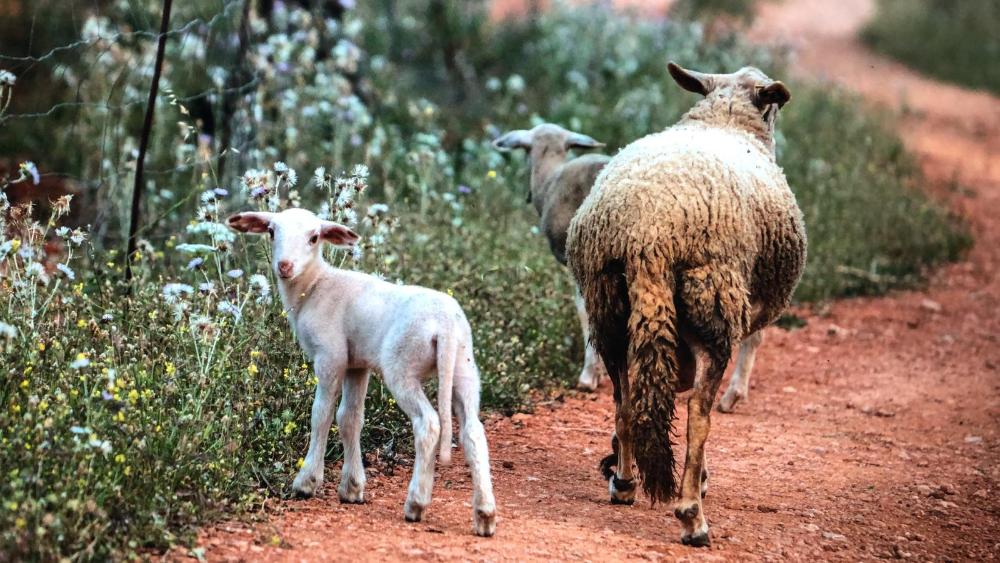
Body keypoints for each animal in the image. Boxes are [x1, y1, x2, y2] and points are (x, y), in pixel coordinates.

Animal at [229, 208, 498, 536]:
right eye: (271, 231)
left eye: (314, 237)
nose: (284, 266)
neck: (315, 286)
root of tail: (444, 324)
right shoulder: (356, 364)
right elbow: (350, 418)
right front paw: (352, 488)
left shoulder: (330, 355)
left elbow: (321, 415)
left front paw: (307, 482)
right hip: (464, 366)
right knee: (473, 431)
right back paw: (485, 515)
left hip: (402, 365)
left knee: (428, 424)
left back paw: (416, 503)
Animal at [568, 61, 808, 548]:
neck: (726, 119)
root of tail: (647, 235)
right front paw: (701, 483)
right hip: (713, 307)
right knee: (700, 413)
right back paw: (692, 515)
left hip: (609, 314)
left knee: (626, 401)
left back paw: (624, 483)